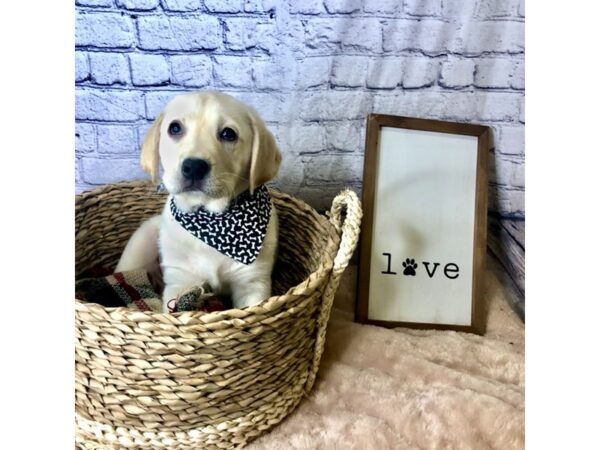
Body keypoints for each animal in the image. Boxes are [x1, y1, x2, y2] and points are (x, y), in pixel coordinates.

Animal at [116, 89, 282, 312]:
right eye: (175, 128)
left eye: (228, 134)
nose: (194, 166)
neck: (210, 219)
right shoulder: (181, 283)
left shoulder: (253, 283)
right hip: (139, 245)